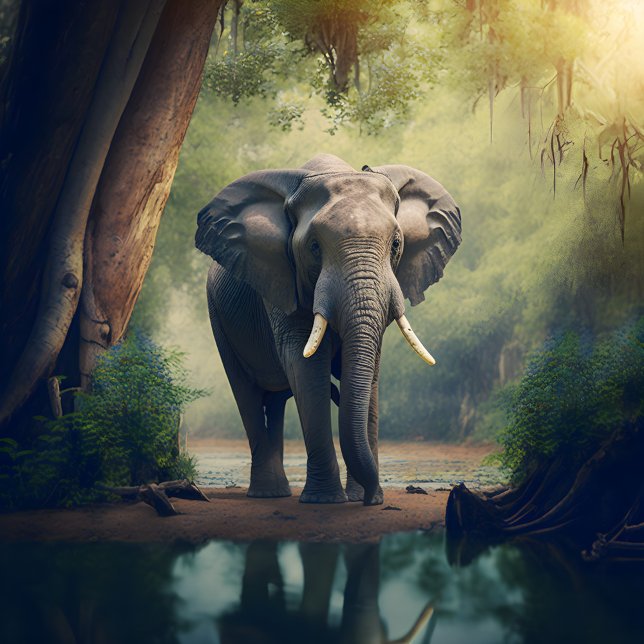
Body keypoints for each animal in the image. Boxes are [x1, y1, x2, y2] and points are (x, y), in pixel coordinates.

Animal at [195, 154, 461, 506]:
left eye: (396, 244)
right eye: (314, 247)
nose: (374, 497)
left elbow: (368, 368)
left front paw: (362, 499)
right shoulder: (282, 280)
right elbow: (305, 365)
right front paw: (326, 501)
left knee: (275, 402)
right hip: (218, 316)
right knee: (247, 394)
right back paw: (267, 494)